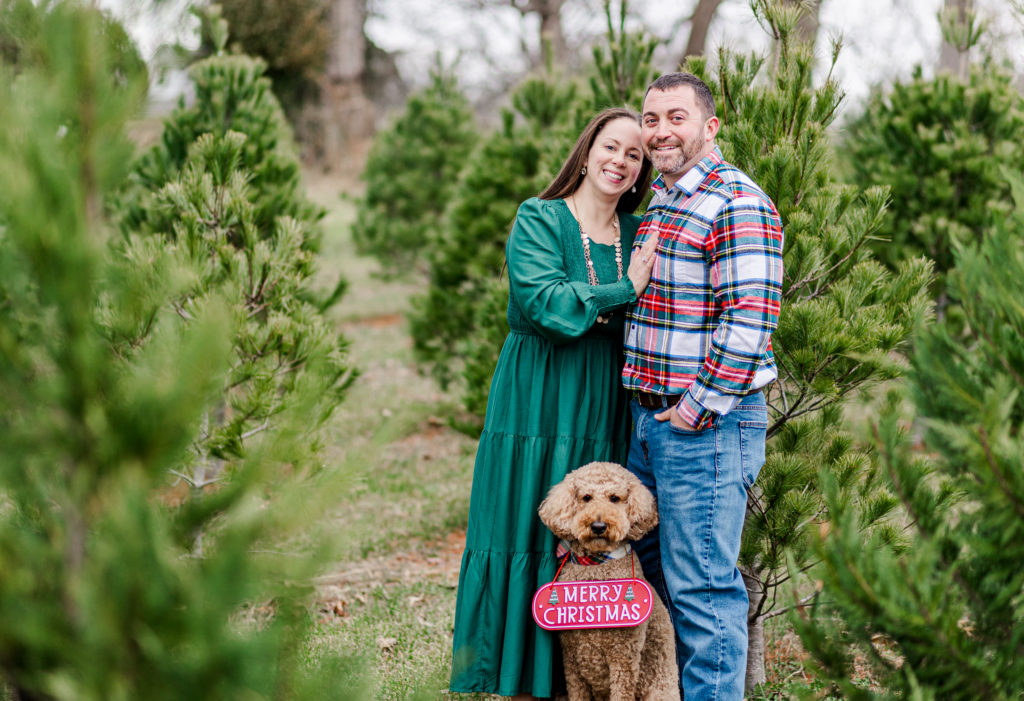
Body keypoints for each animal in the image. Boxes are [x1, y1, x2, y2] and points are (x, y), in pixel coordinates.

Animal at [540, 462, 675, 695]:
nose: (598, 526)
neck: (596, 565)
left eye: (615, 498)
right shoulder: (570, 656)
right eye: (586, 497)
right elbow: (577, 694)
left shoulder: (624, 657)